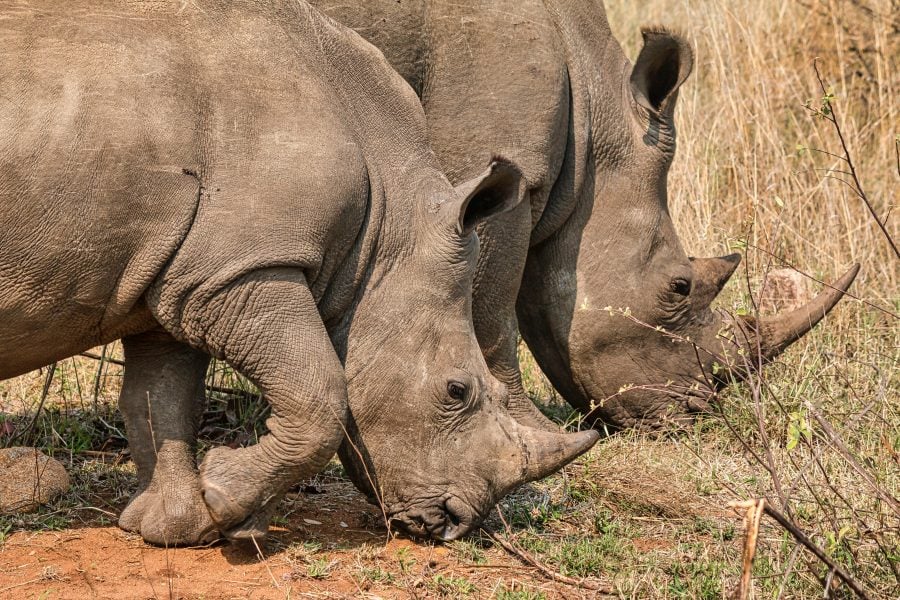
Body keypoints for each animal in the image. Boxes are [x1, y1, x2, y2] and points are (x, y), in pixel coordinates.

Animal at [0, 0, 598, 545]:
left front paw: (179, 526)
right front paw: (223, 501)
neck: (388, 232)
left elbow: (162, 399)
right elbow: (320, 394)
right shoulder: (243, 268)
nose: (452, 523)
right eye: (456, 391)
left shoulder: (183, 274)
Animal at [311, 0, 858, 430]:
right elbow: (489, 309)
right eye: (679, 286)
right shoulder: (494, 161)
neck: (595, 107)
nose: (696, 413)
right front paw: (527, 427)